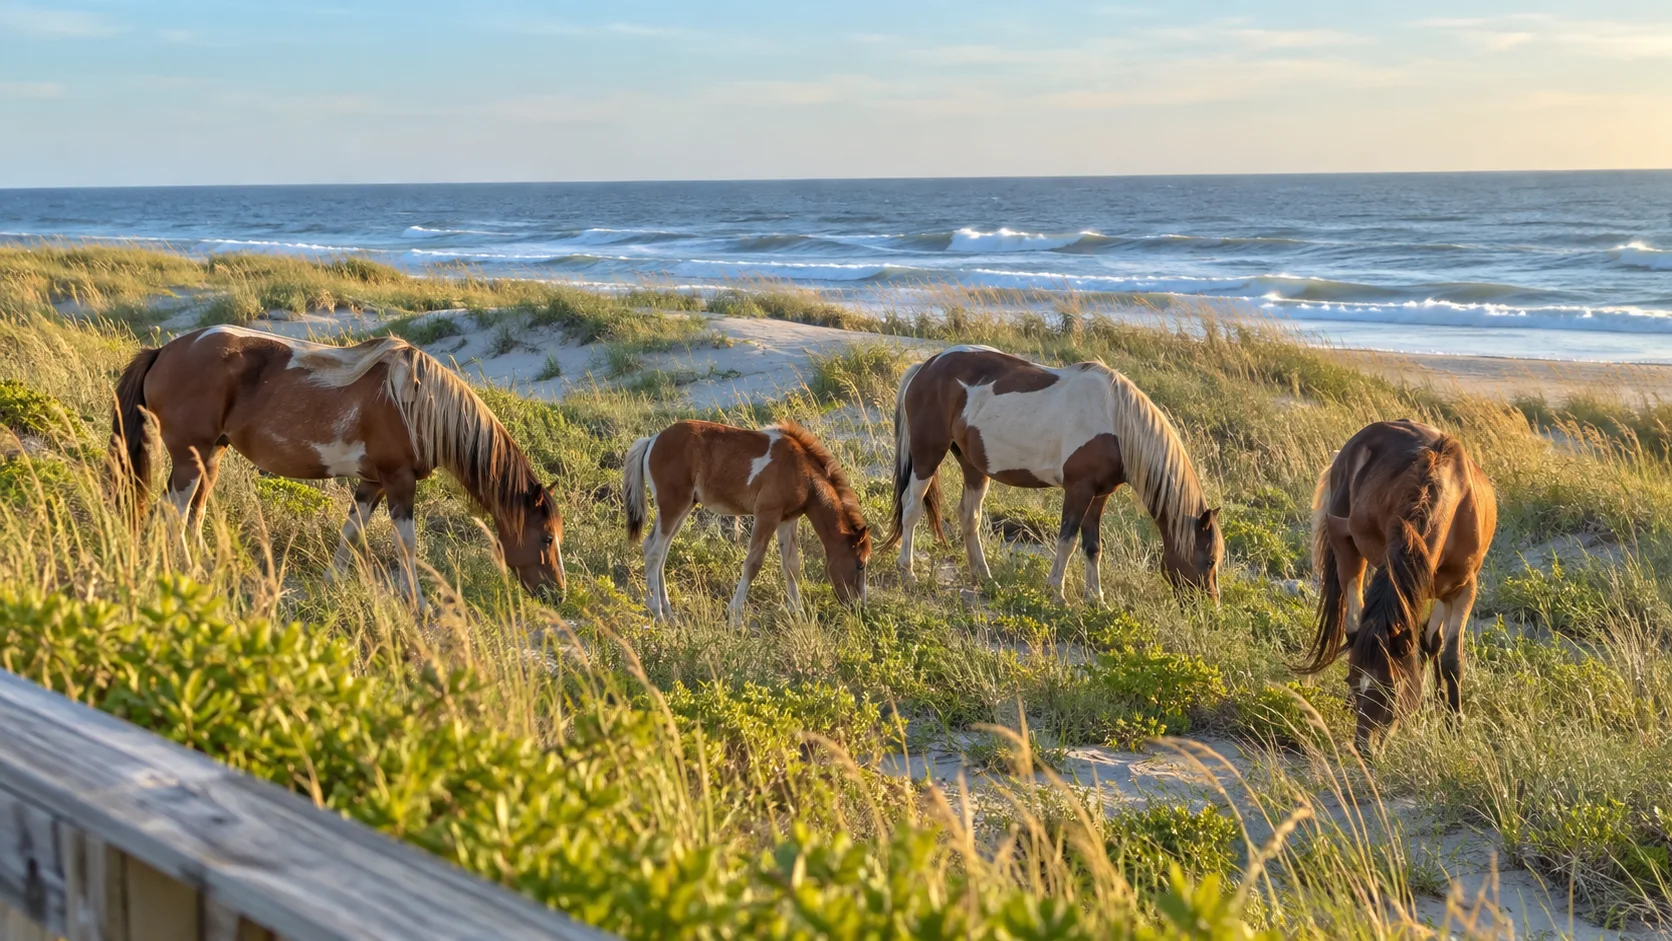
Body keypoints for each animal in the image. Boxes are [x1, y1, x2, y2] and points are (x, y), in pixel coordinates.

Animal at [110, 325, 565, 605]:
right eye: (546, 538)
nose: (557, 594)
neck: (417, 405)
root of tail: (164, 351)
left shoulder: (373, 483)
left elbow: (351, 532)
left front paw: (330, 584)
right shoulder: (399, 481)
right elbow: (407, 544)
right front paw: (417, 602)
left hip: (210, 457)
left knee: (194, 510)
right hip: (191, 456)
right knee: (174, 512)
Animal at [623, 419, 871, 622]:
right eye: (860, 564)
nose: (859, 607)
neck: (802, 472)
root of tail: (652, 440)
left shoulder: (787, 521)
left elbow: (791, 566)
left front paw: (799, 614)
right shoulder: (766, 515)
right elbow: (753, 564)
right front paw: (735, 616)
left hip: (683, 508)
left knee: (658, 549)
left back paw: (667, 611)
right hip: (673, 506)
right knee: (655, 552)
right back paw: (657, 613)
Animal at [881, 345, 1222, 603]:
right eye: (1210, 560)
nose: (1210, 606)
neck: (1115, 423)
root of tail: (926, 366)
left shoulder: (1099, 495)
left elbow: (1093, 546)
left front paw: (1095, 599)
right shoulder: (1078, 490)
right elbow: (1067, 542)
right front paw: (1057, 592)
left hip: (973, 465)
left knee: (970, 517)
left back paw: (984, 576)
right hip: (927, 455)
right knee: (911, 509)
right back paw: (907, 570)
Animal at [1299, 420, 1496, 753]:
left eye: (1392, 689)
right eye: (1353, 681)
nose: (1365, 748)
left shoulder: (1463, 589)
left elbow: (1450, 658)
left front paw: (1454, 724)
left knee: (1430, 640)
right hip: (1350, 550)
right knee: (1356, 625)